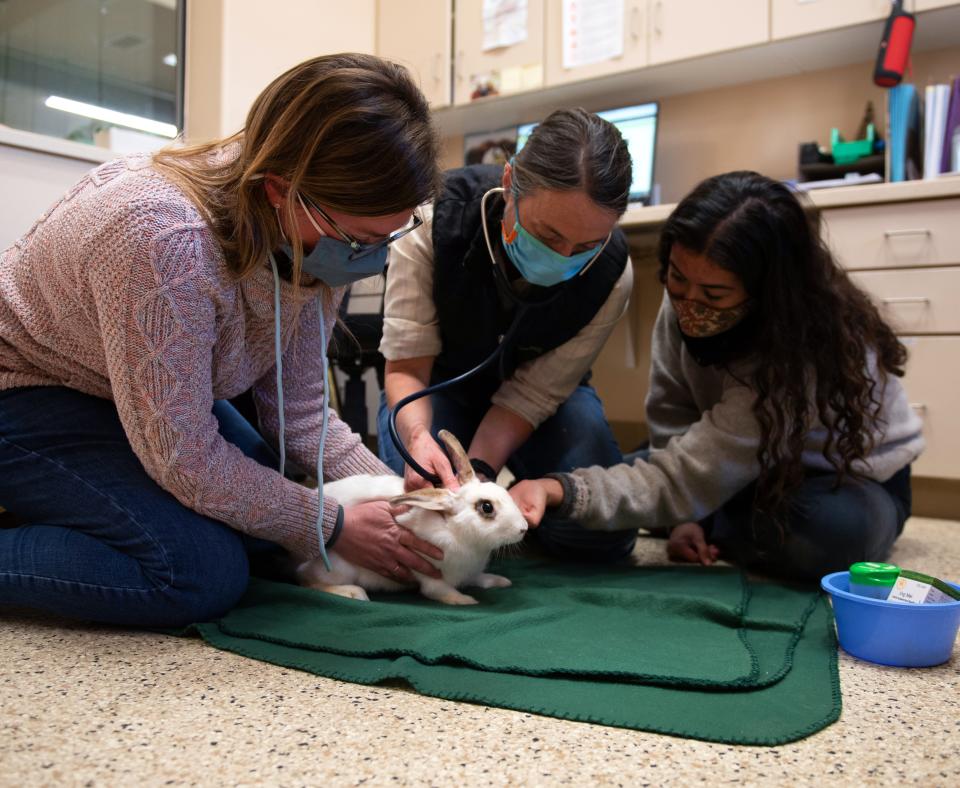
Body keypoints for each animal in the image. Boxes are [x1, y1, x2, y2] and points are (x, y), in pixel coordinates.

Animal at [296, 430, 528, 604]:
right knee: (307, 581)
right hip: (337, 567)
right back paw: (353, 593)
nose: (523, 528)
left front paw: (500, 581)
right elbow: (439, 592)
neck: (456, 531)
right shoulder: (430, 575)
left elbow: (480, 578)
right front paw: (466, 600)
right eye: (486, 507)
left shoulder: (471, 573)